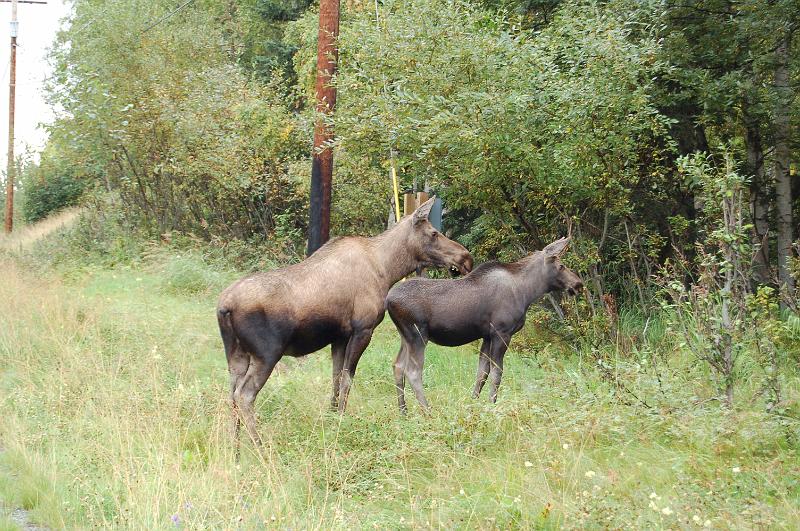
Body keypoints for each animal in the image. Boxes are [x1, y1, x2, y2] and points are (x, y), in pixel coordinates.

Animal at [217, 198, 473, 448]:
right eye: (433, 233)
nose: (466, 258)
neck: (387, 269)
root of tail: (224, 307)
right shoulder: (363, 330)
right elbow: (348, 380)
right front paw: (341, 420)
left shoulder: (338, 337)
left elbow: (336, 378)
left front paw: (332, 417)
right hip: (266, 355)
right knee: (244, 396)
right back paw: (259, 446)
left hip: (236, 356)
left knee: (231, 394)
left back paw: (234, 448)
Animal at [385, 237, 583, 413]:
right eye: (561, 266)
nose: (578, 284)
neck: (527, 292)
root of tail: (388, 300)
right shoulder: (501, 332)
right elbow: (497, 373)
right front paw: (492, 404)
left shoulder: (487, 336)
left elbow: (482, 373)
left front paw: (474, 403)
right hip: (418, 335)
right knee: (413, 371)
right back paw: (427, 411)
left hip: (405, 337)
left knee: (398, 366)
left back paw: (403, 411)